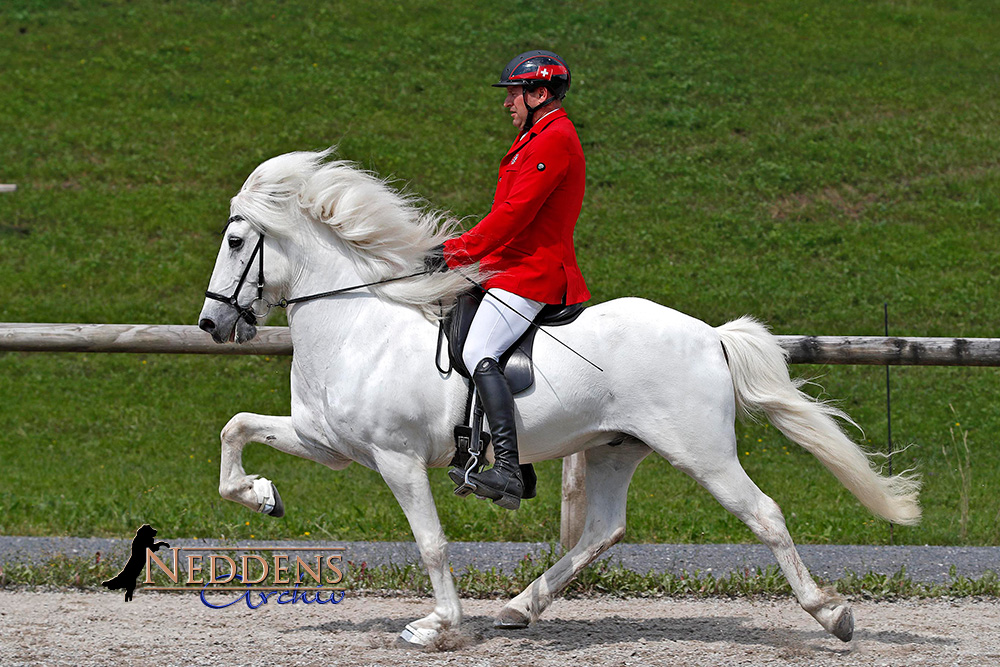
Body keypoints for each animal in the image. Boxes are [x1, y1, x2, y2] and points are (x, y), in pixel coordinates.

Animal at [197, 150, 920, 648]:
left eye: (235, 241)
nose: (212, 324)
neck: (357, 324)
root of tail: (710, 334)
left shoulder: (395, 458)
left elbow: (430, 541)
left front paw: (439, 626)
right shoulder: (327, 442)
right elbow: (235, 427)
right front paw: (261, 494)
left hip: (703, 451)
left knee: (764, 514)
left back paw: (832, 613)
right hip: (613, 448)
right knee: (603, 530)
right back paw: (520, 607)